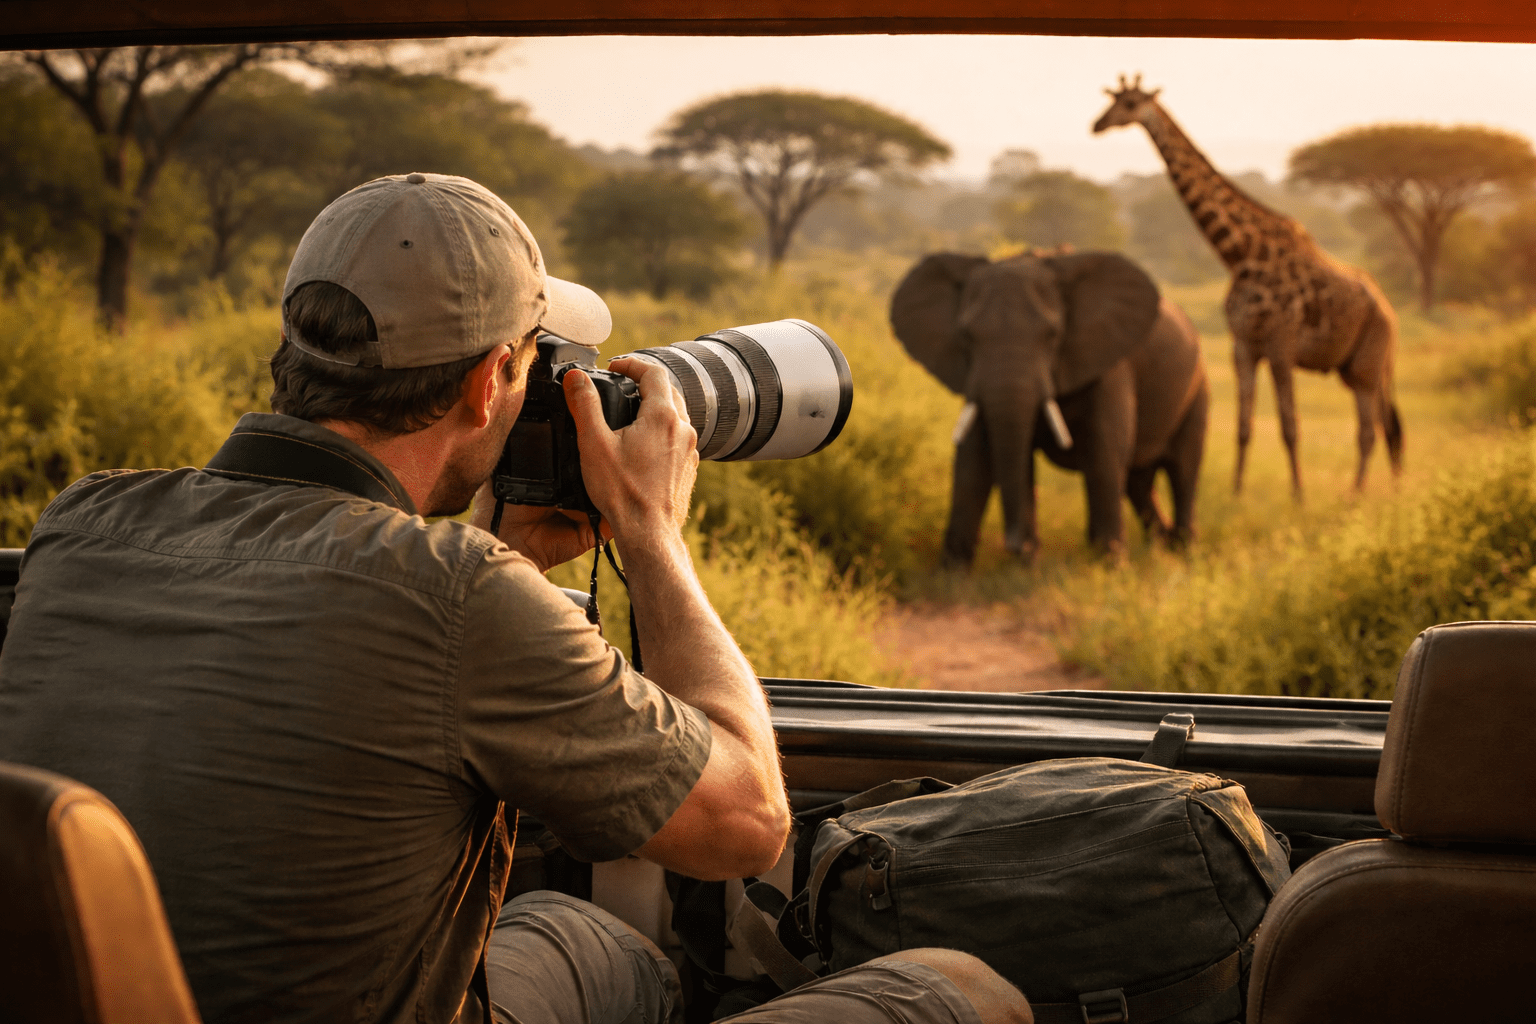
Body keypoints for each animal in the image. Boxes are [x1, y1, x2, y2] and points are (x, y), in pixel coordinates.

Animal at [890, 250, 1209, 565]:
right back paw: (1161, 547)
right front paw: (960, 569)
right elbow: (974, 457)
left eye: (1052, 335)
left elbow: (1104, 451)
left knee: (1182, 470)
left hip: (1198, 389)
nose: (1014, 544)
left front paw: (1111, 565)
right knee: (1139, 481)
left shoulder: (1110, 365)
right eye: (967, 336)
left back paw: (1183, 552)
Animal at [1092, 75, 1403, 499]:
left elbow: (1290, 427)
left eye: (1129, 103)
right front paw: (1236, 493)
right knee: (1385, 425)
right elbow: (1243, 427)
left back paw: (1356, 496)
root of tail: (1389, 311)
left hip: (1369, 363)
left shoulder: (1281, 346)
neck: (1240, 254)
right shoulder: (1242, 345)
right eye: (1112, 100)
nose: (1097, 125)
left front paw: (1298, 496)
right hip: (1352, 367)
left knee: (1371, 430)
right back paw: (1389, 489)